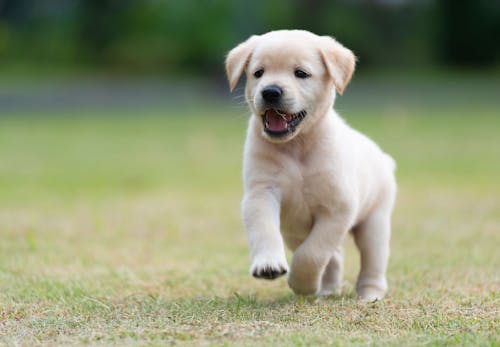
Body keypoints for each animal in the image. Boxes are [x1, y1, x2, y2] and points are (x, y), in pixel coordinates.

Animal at [225, 30, 396, 302]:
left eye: (301, 73)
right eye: (258, 73)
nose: (270, 91)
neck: (297, 146)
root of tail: (383, 158)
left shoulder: (338, 209)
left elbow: (313, 253)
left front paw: (302, 283)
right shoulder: (261, 193)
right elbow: (264, 230)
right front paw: (268, 264)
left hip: (375, 222)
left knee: (372, 261)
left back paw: (370, 294)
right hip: (294, 232)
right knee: (334, 257)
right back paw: (328, 288)